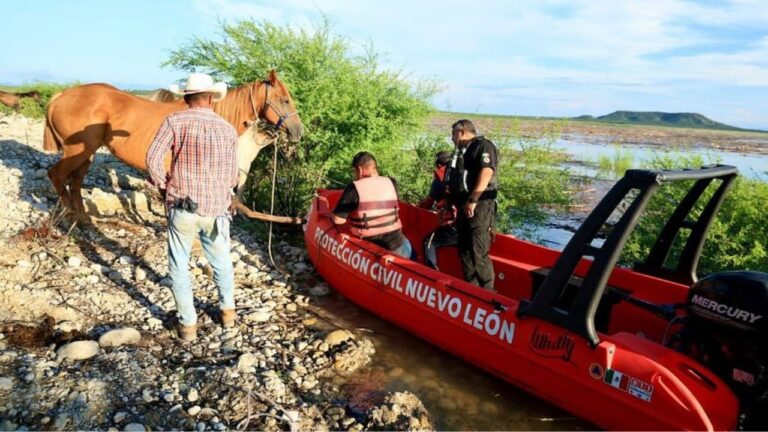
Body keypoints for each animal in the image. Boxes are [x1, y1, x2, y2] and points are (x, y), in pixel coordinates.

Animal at [43, 71, 304, 219]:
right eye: (285, 99)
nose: (298, 131)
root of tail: (60, 96)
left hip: (85, 153)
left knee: (75, 183)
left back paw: (83, 220)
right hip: (77, 152)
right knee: (57, 176)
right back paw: (70, 216)